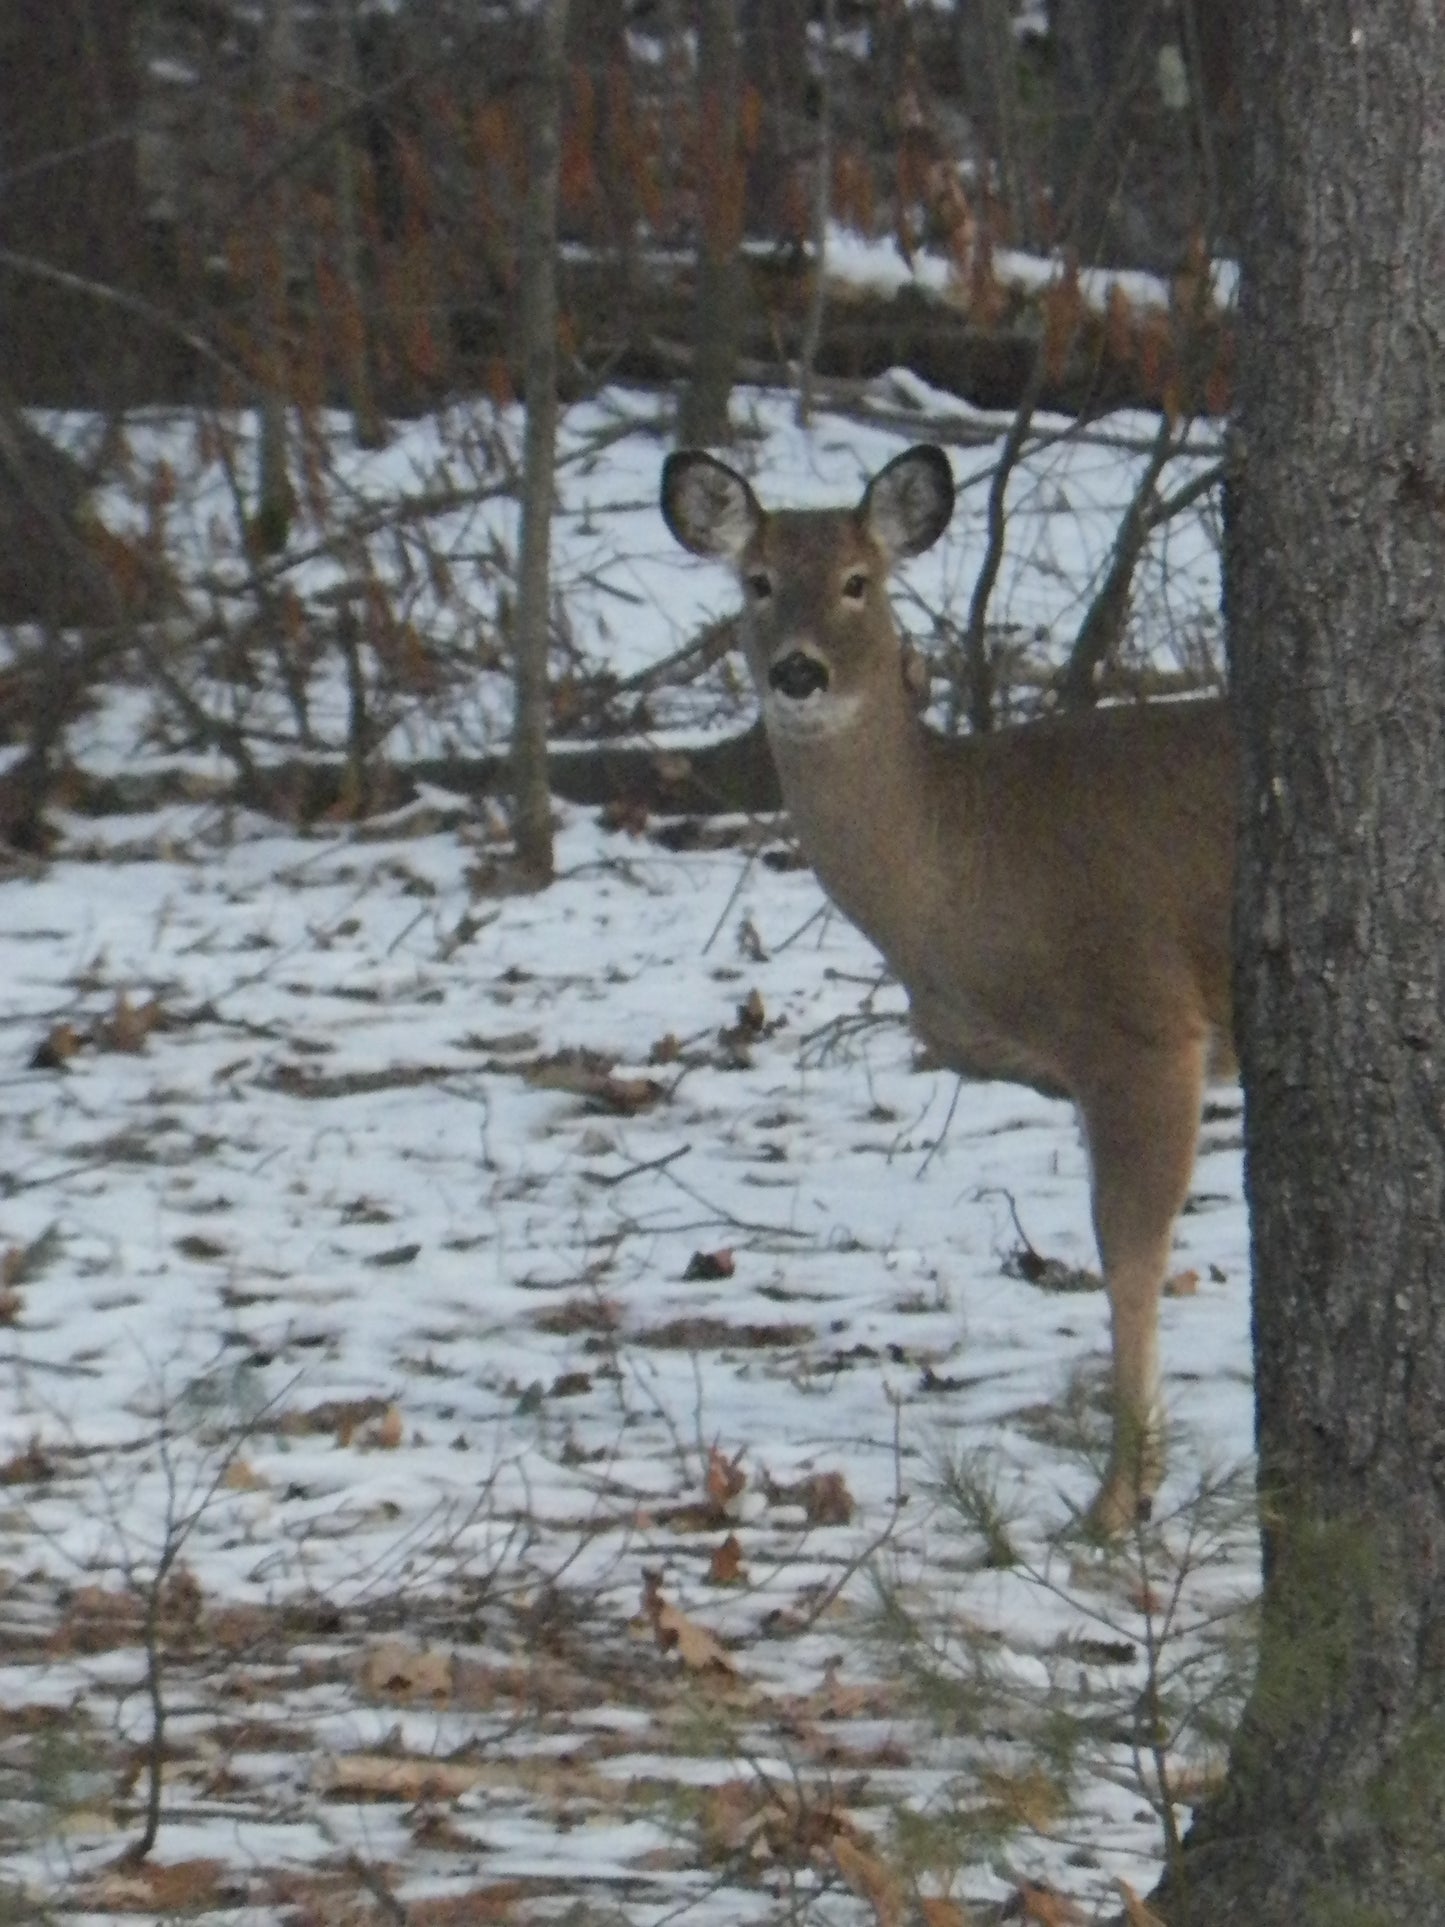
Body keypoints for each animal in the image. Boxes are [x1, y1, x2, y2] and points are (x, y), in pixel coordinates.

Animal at [661, 443, 1237, 1536]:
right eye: (756, 582)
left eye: (859, 581)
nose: (798, 671)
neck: (963, 870)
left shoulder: (1143, 1023)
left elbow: (1127, 1256)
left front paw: (1117, 1499)